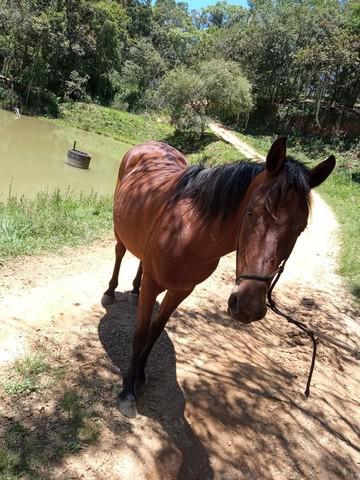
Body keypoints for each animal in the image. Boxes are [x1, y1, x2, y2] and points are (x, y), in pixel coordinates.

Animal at [102, 138, 336, 416]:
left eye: (300, 228)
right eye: (251, 212)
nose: (248, 305)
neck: (188, 231)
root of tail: (151, 143)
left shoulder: (181, 290)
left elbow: (155, 330)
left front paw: (139, 376)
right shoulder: (153, 283)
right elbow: (139, 335)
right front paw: (127, 391)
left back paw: (134, 291)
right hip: (120, 232)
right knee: (119, 252)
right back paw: (110, 292)